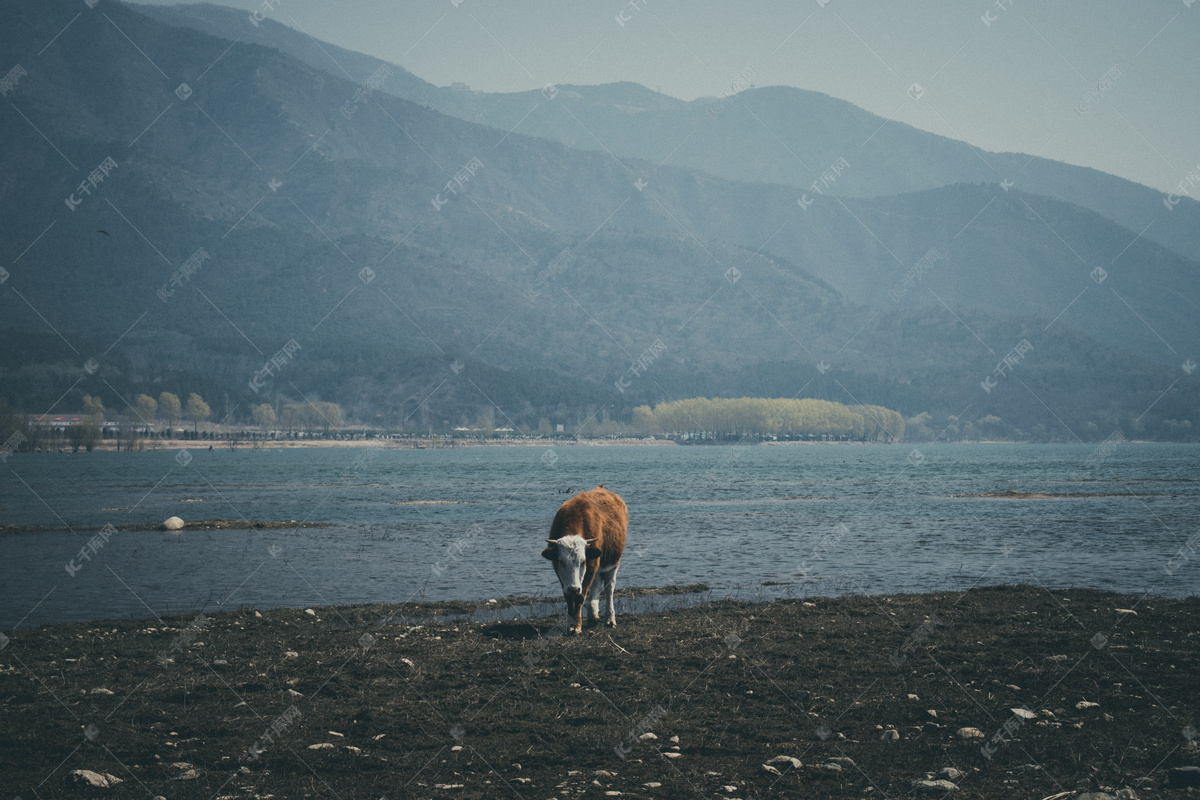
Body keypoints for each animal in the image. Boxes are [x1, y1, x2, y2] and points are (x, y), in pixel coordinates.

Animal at [542, 484, 628, 633]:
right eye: (561, 562)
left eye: (583, 561)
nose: (574, 588)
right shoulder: (560, 573)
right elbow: (569, 597)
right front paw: (571, 624)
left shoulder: (591, 564)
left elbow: (581, 596)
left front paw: (576, 626)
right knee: (596, 584)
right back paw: (593, 615)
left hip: (613, 563)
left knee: (609, 588)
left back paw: (610, 619)